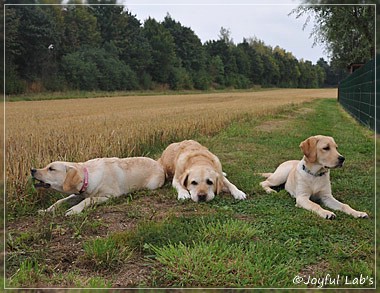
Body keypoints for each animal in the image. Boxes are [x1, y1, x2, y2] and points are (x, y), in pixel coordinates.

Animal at [31, 156, 165, 216]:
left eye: (51, 169)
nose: (32, 169)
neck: (87, 177)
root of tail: (159, 163)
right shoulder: (79, 193)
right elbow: (59, 201)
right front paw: (46, 210)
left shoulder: (110, 196)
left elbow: (88, 200)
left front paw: (74, 210)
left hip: (151, 185)